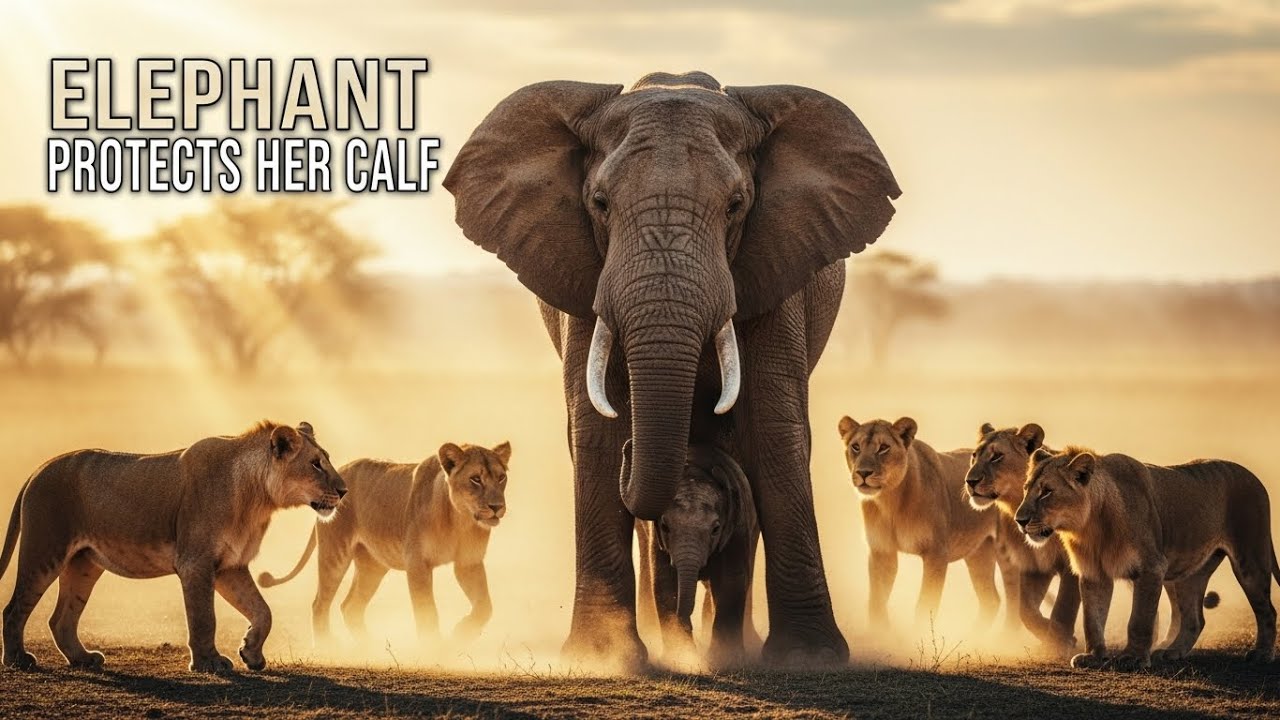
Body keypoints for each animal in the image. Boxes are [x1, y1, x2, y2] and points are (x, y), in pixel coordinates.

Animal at [632, 442, 759, 667]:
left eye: (716, 529)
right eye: (665, 526)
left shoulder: (738, 527)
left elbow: (732, 581)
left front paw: (724, 659)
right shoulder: (658, 539)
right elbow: (664, 582)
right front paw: (682, 656)